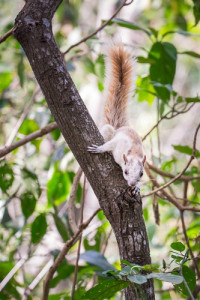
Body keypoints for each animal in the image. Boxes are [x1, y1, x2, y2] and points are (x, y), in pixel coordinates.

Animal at [88, 44, 146, 195]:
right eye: (125, 172)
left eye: (141, 174)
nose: (132, 184)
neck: (134, 153)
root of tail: (119, 127)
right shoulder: (119, 143)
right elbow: (109, 145)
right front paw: (99, 149)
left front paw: (137, 188)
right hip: (109, 131)